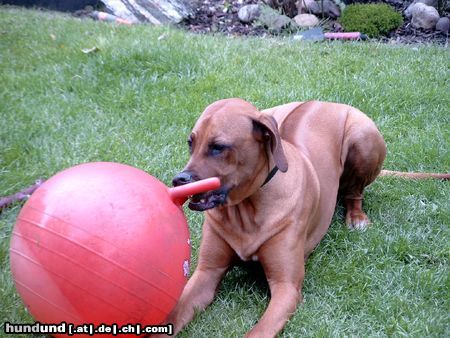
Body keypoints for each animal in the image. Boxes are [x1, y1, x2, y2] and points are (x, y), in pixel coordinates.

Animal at [167, 99, 384, 336]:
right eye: (190, 143)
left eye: (218, 147)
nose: (178, 180)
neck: (246, 209)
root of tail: (326, 102)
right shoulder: (207, 272)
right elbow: (173, 313)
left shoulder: (286, 287)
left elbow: (259, 331)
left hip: (363, 137)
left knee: (355, 193)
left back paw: (357, 218)